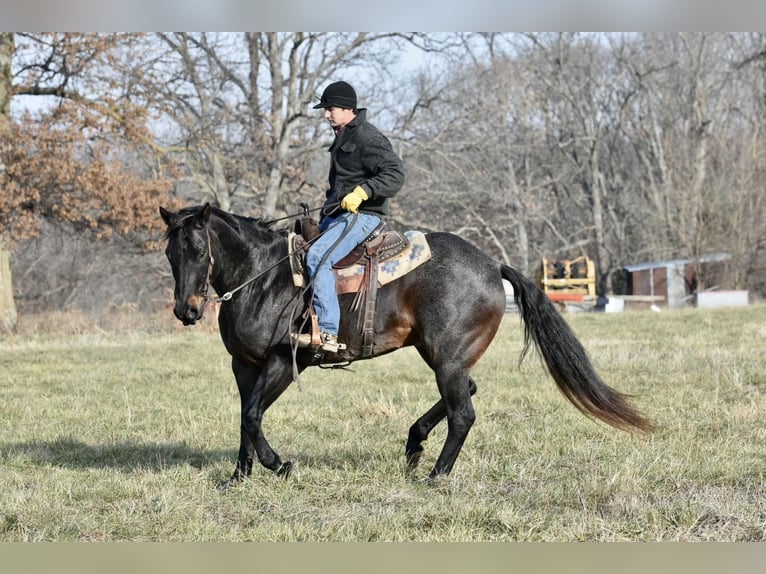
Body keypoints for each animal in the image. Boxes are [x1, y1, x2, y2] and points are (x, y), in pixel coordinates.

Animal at [162, 205, 656, 488]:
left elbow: (252, 416)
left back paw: (435, 475)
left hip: (447, 358)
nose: (186, 311)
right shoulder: (243, 365)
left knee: (463, 412)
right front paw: (238, 478)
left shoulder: (283, 362)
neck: (264, 277)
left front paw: (279, 466)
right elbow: (245, 418)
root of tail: (492, 265)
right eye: (171, 253)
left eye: (200, 251)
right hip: (442, 355)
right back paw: (415, 445)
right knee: (466, 394)